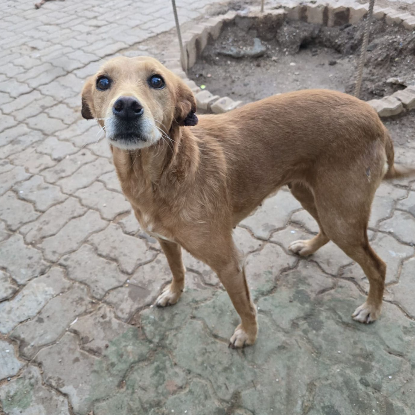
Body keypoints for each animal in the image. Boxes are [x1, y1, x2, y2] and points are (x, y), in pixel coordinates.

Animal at [81, 56, 415, 348]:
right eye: (103, 82)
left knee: (378, 265)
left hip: (341, 213)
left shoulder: (229, 262)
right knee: (325, 230)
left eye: (156, 80)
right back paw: (308, 247)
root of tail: (374, 117)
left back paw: (371, 308)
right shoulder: (165, 240)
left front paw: (249, 335)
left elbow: (243, 304)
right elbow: (177, 270)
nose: (126, 106)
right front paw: (174, 293)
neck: (159, 176)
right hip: (310, 194)